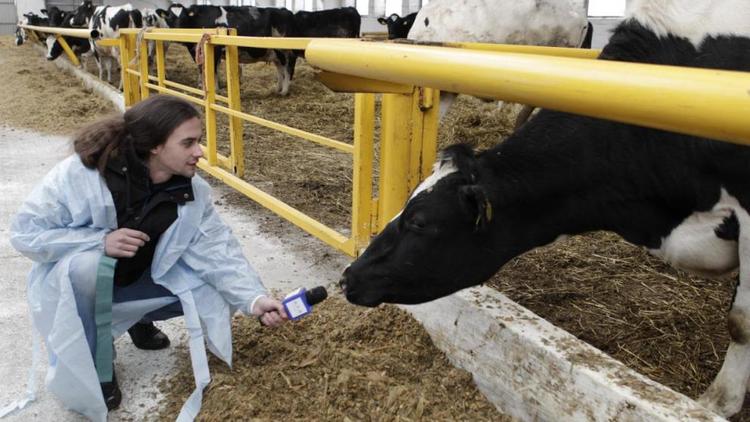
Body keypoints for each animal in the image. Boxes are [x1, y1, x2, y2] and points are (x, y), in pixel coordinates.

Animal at [158, 3, 296, 95]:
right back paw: (277, 89)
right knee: (280, 67)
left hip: (285, 50)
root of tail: (286, 10)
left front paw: (215, 90)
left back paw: (284, 91)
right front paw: (203, 86)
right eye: (169, 18)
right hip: (274, 52)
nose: (177, 34)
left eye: (184, 17)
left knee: (287, 67)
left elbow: (212, 70)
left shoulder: (215, 50)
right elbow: (204, 69)